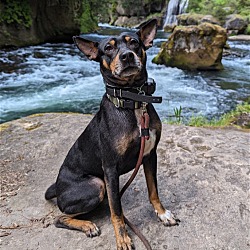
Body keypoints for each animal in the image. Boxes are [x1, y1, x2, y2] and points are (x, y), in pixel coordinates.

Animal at [44, 18, 178, 249]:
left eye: (134, 43)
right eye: (108, 48)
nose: (127, 56)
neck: (132, 101)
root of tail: (58, 189)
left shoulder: (150, 155)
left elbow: (153, 191)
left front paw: (162, 213)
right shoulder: (110, 168)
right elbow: (116, 211)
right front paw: (122, 237)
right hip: (97, 184)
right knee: (60, 217)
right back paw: (87, 225)